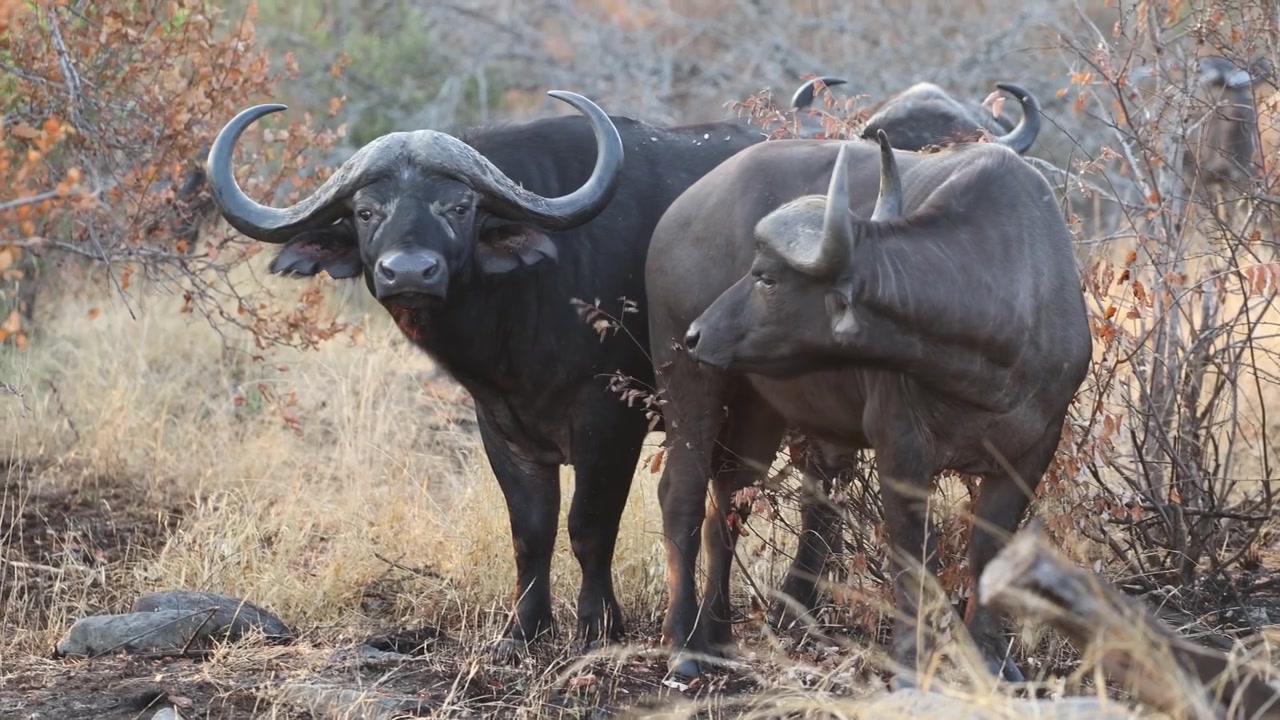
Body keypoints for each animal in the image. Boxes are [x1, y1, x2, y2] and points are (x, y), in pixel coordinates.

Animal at [201, 80, 861, 663]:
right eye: (366, 211)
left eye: (458, 206)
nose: (409, 272)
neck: (523, 306)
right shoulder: (500, 423)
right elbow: (531, 527)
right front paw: (523, 631)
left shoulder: (608, 420)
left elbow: (590, 523)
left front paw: (598, 627)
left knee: (818, 496)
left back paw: (791, 611)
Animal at [644, 128, 1092, 685]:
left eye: (766, 276)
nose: (697, 333)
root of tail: (675, 214)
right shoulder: (901, 445)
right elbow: (911, 554)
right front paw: (910, 662)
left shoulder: (1034, 448)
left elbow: (990, 550)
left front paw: (993, 660)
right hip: (689, 385)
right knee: (680, 494)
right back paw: (683, 644)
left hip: (758, 410)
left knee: (727, 503)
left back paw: (717, 637)